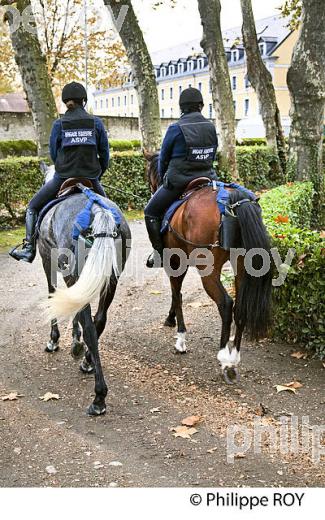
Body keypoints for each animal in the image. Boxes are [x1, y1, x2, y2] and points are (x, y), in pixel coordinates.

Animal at [37, 165, 130, 416]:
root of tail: (97, 210)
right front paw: (76, 344)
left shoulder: (48, 260)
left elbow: (53, 294)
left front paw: (57, 340)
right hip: (111, 279)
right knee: (99, 320)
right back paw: (88, 361)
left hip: (72, 272)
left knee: (90, 325)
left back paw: (99, 397)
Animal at [144, 152, 270, 384]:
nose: (151, 188)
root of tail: (233, 202)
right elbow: (176, 294)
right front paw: (171, 320)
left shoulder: (175, 261)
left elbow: (177, 295)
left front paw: (180, 338)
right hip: (242, 266)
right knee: (240, 306)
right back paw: (234, 357)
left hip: (208, 269)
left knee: (225, 304)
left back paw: (224, 359)